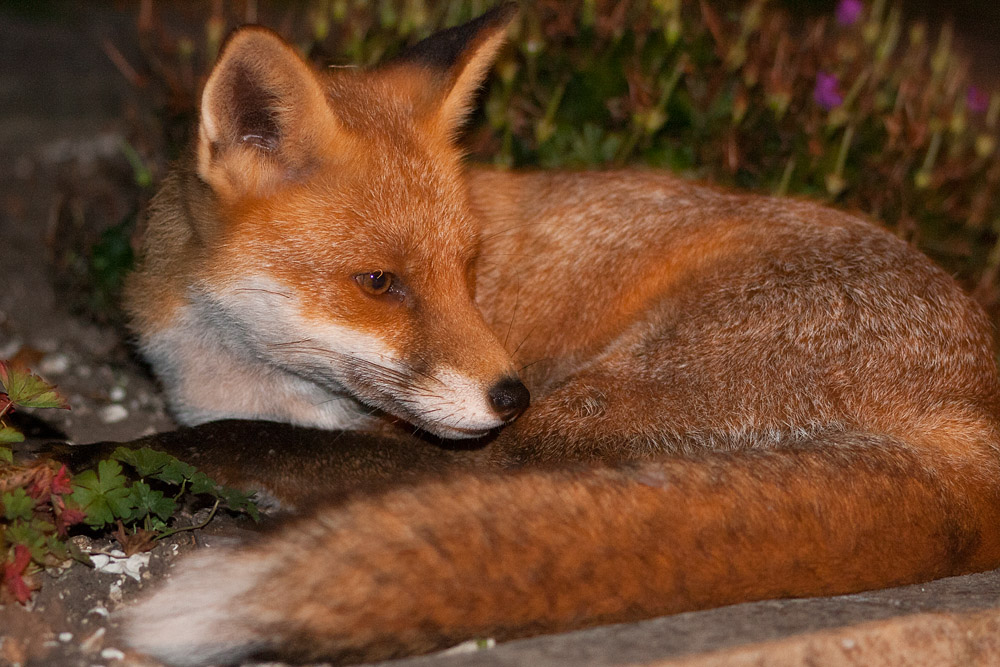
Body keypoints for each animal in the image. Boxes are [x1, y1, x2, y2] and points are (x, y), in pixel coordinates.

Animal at [114, 3, 1000, 665]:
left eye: (468, 265)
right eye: (379, 282)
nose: (512, 394)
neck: (237, 371)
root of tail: (976, 428)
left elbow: (228, 437)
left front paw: (90, 456)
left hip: (587, 413)